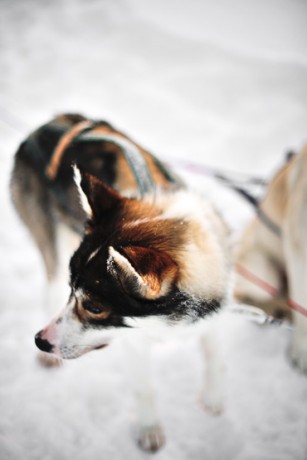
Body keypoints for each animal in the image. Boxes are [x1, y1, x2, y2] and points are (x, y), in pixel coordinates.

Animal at [10, 113, 231, 452]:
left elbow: (215, 355)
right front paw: (149, 428)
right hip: (51, 245)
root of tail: (49, 124)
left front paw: (213, 397)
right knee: (48, 284)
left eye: (94, 308)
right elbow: (144, 387)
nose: (40, 341)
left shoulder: (214, 311)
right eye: (76, 297)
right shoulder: (135, 343)